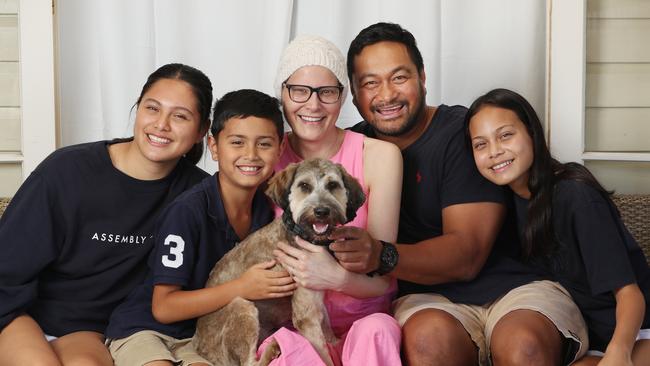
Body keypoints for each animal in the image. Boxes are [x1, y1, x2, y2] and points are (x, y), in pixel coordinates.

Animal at [191, 159, 364, 366]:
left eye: (333, 185)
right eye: (304, 186)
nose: (321, 211)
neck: (300, 233)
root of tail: (200, 348)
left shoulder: (317, 301)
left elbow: (328, 329)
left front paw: (337, 343)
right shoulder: (306, 315)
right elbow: (323, 353)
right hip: (241, 307)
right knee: (250, 363)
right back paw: (273, 347)